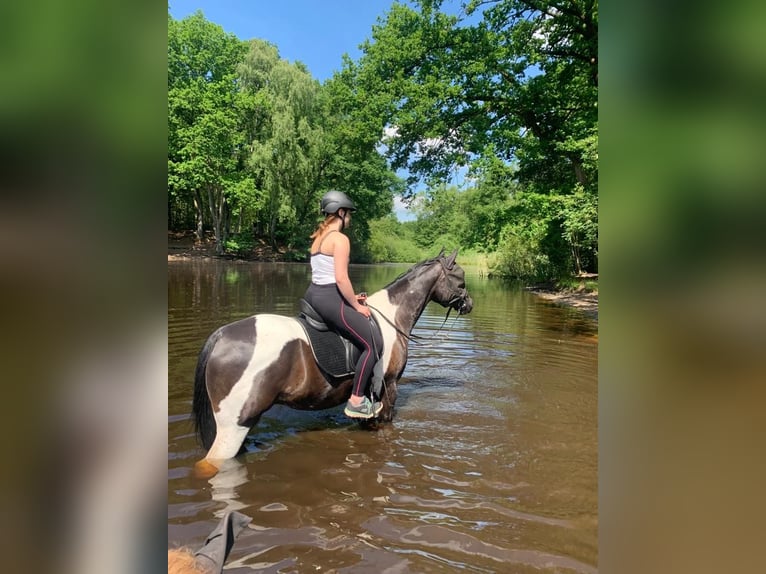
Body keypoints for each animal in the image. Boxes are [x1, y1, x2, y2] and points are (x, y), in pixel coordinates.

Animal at [190, 249, 474, 476]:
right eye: (460, 279)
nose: (469, 304)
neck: (392, 317)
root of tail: (221, 335)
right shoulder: (389, 387)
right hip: (234, 426)